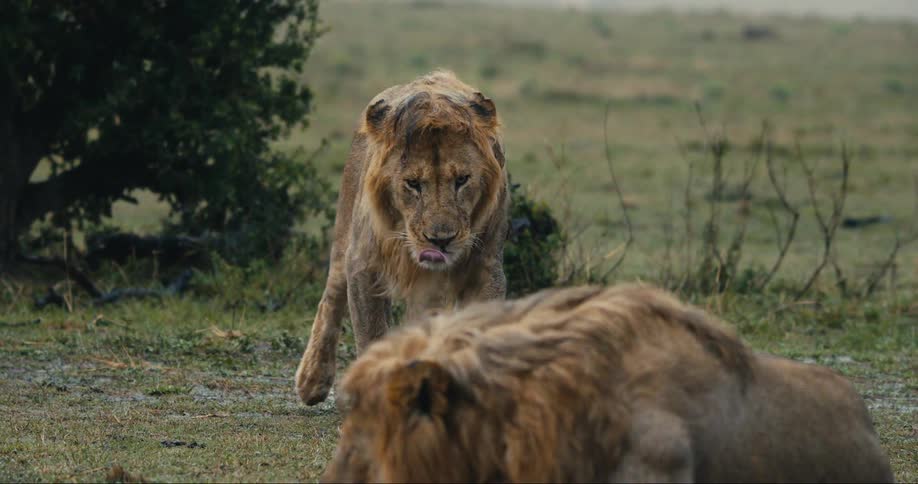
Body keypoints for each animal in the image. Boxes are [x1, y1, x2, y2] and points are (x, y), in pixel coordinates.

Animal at [295, 71, 509, 405]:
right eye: (413, 184)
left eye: (462, 180)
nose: (441, 240)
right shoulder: (363, 265)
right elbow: (371, 333)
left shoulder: (485, 268)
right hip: (344, 235)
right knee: (331, 296)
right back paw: (312, 381)